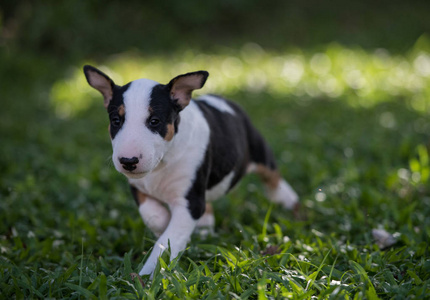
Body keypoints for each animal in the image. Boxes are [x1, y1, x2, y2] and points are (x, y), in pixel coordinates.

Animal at [82, 65, 298, 276]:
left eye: (154, 121)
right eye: (116, 121)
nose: (128, 161)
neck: (162, 161)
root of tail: (226, 101)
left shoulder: (189, 201)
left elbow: (167, 242)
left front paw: (150, 275)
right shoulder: (137, 186)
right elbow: (151, 214)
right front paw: (163, 221)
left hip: (259, 150)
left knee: (273, 176)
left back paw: (290, 203)